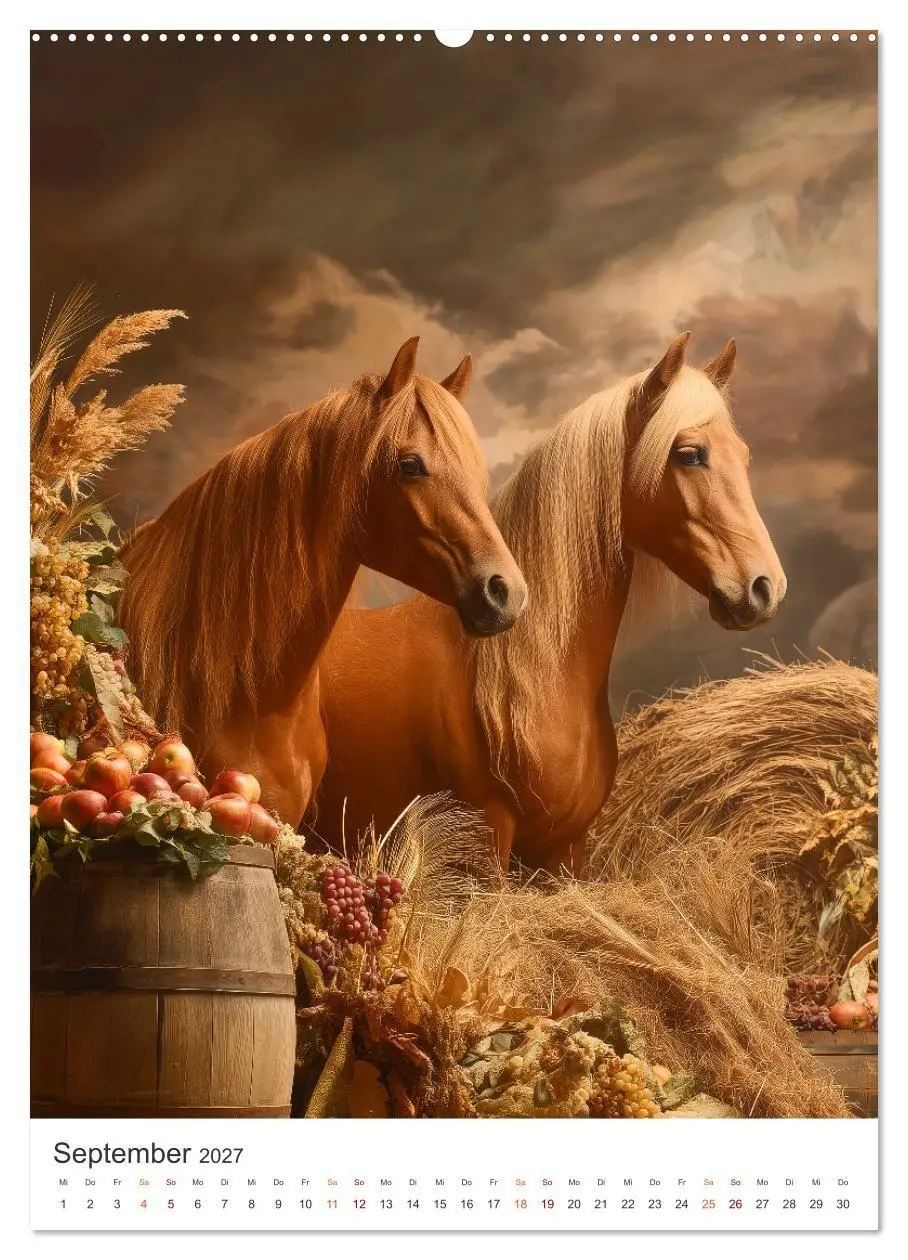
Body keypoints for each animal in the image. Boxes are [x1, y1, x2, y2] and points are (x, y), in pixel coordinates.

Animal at [315, 333, 787, 874]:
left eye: (744, 456)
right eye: (689, 454)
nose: (765, 587)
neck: (531, 671)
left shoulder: (566, 853)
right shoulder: (482, 845)